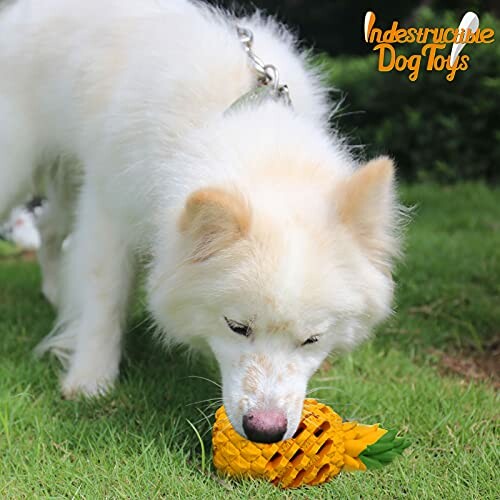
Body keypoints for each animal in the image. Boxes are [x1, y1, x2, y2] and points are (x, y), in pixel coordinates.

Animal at [0, 0, 400, 444]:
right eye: (236, 326)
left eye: (312, 338)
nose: (265, 432)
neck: (237, 119)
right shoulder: (108, 208)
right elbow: (104, 299)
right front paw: (90, 380)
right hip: (15, 167)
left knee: (49, 229)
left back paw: (54, 292)